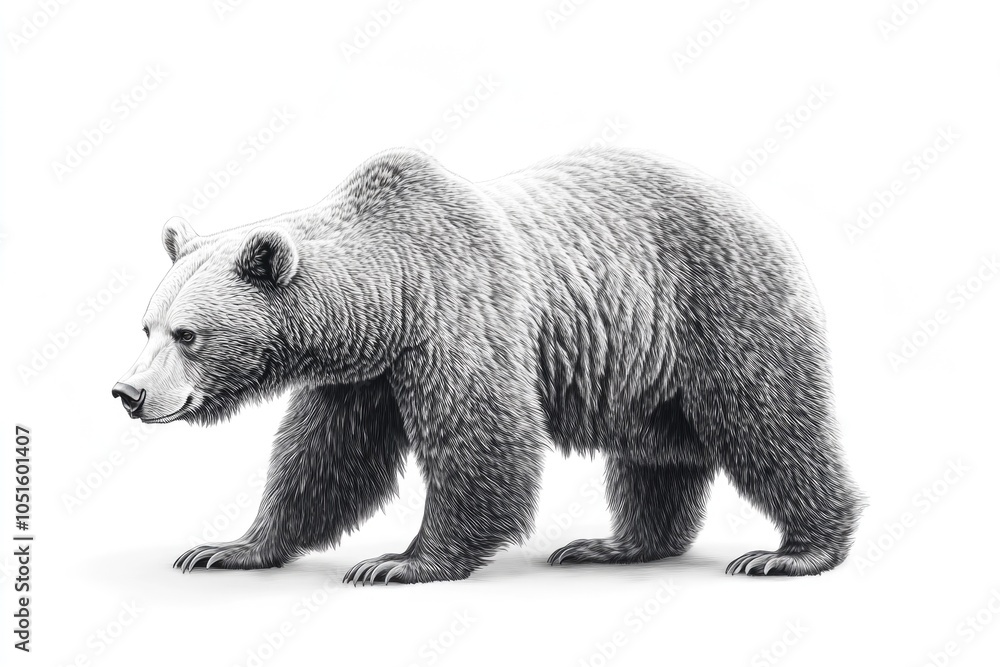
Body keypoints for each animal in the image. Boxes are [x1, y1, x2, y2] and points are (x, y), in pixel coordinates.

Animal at [112, 146, 862, 583]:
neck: (389, 298)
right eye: (147, 325)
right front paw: (227, 547)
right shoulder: (363, 375)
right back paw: (613, 545)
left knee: (769, 422)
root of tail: (755, 209)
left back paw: (794, 550)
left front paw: (401, 561)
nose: (129, 391)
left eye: (188, 335)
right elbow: (325, 461)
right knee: (657, 456)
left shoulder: (460, 317)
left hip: (717, 308)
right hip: (643, 369)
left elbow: (483, 437)